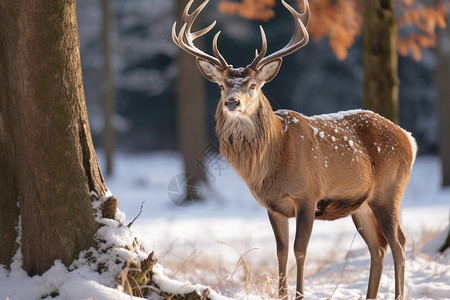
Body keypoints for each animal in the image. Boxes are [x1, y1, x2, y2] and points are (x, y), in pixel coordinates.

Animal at [173, 1, 418, 298]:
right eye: (221, 86)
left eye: (253, 85)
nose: (232, 102)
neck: (276, 157)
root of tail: (409, 139)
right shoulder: (273, 205)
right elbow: (280, 252)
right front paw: (282, 293)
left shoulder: (308, 195)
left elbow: (300, 250)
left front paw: (300, 293)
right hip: (361, 204)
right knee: (378, 246)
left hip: (390, 190)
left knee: (399, 241)